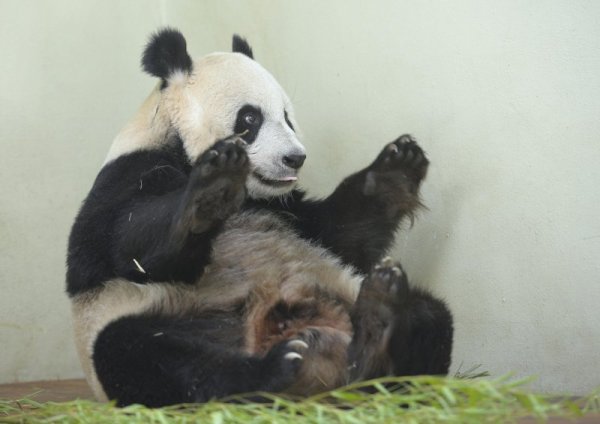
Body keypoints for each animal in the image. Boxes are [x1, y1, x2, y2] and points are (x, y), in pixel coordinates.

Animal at [65, 29, 452, 408]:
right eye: (250, 118)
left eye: (287, 116)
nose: (295, 158)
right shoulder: (126, 175)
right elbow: (125, 246)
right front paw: (213, 186)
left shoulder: (286, 210)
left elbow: (343, 236)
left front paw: (396, 169)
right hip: (165, 314)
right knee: (148, 356)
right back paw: (274, 371)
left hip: (345, 297)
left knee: (430, 316)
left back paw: (377, 333)